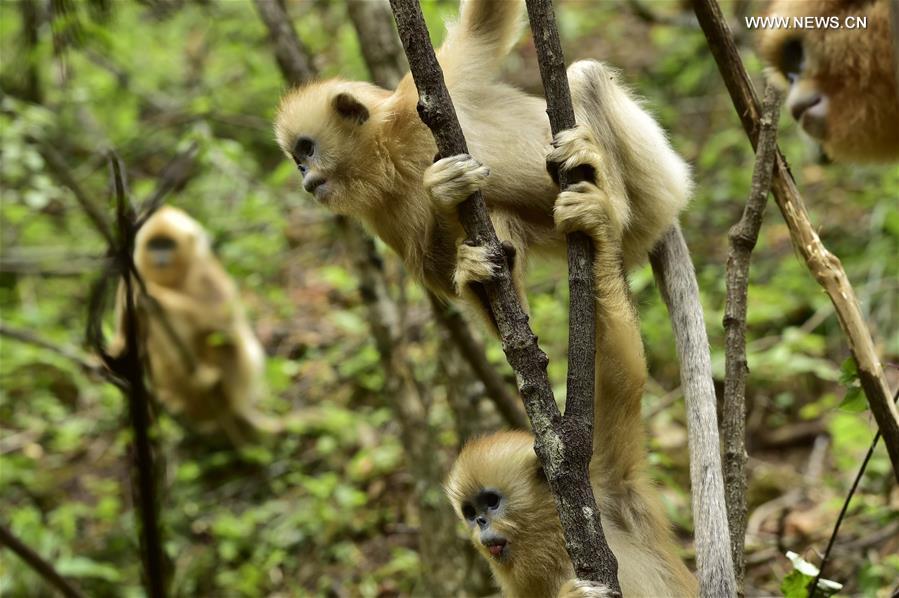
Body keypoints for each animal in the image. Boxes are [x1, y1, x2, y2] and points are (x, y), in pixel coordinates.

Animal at [110, 206, 278, 446]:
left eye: (168, 245)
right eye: (154, 245)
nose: (160, 257)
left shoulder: (205, 273)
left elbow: (222, 320)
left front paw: (153, 294)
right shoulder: (131, 275)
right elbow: (123, 338)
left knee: (222, 338)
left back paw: (208, 380)